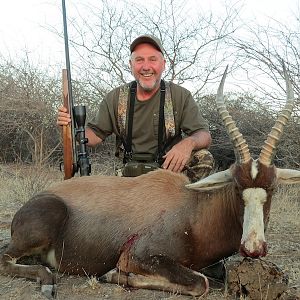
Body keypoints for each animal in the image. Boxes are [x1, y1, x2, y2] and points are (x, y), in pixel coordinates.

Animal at [0, 65, 300, 298]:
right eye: (237, 187)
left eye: (272, 188)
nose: (253, 248)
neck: (194, 207)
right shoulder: (139, 255)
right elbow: (200, 283)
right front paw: (113, 276)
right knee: (6, 259)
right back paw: (47, 280)